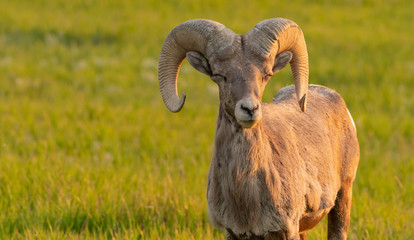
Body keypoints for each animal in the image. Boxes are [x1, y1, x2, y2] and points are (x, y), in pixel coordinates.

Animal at [158, 18, 360, 240]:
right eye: (219, 75)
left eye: (266, 74)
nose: (249, 109)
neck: (245, 193)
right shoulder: (233, 233)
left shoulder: (287, 230)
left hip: (343, 197)